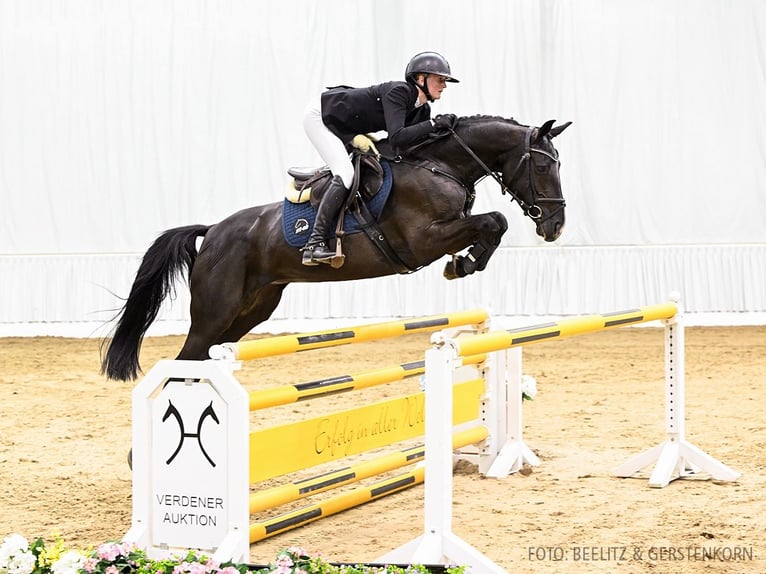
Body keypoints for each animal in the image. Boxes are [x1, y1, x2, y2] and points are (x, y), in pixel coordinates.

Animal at [100, 114, 568, 380]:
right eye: (544, 166)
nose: (556, 226)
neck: (439, 164)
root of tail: (213, 230)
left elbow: (493, 225)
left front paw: (466, 263)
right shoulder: (422, 241)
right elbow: (494, 220)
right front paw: (464, 263)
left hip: (250, 310)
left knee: (203, 360)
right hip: (215, 312)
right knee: (185, 358)